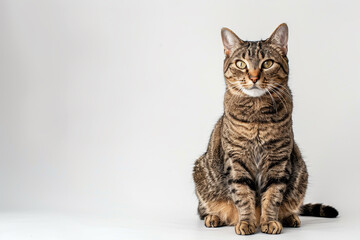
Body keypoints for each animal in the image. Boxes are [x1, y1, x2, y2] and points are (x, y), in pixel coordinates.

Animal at [193, 23, 338, 234]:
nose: (254, 77)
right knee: (204, 210)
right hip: (202, 173)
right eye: (241, 64)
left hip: (301, 172)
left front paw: (269, 221)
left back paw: (290, 217)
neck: (257, 116)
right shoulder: (237, 159)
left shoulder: (278, 160)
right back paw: (214, 217)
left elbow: (272, 196)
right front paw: (246, 222)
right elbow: (243, 195)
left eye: (267, 63)